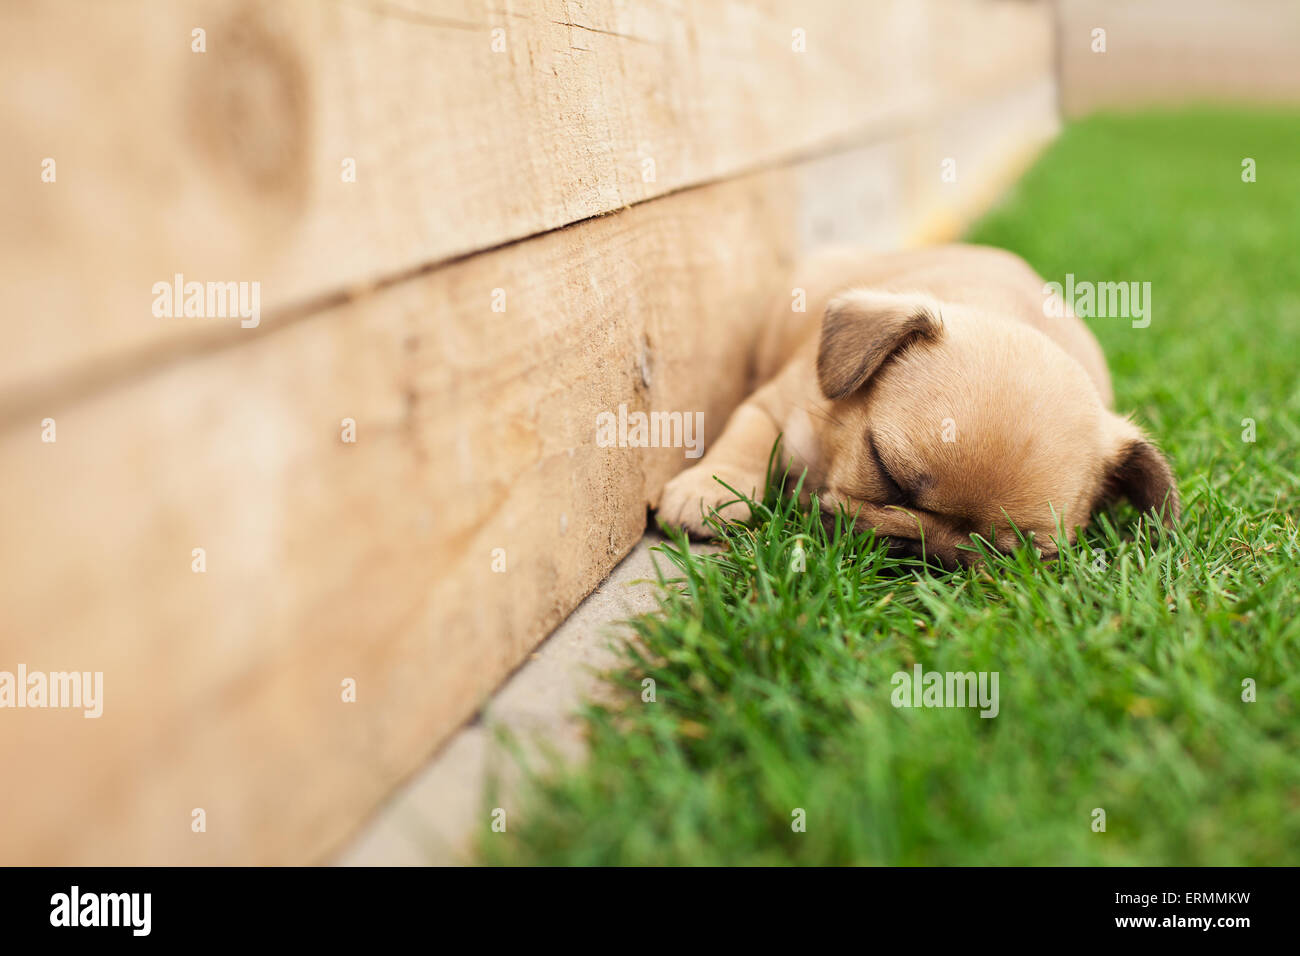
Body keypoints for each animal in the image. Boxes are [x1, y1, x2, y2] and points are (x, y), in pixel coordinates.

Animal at [660, 244, 1180, 567]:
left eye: (1016, 553)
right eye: (887, 475)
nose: (934, 552)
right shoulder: (775, 406)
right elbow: (746, 438)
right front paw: (709, 489)